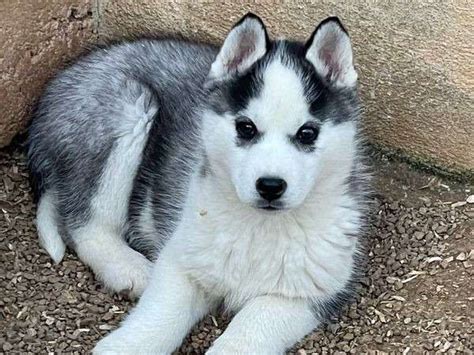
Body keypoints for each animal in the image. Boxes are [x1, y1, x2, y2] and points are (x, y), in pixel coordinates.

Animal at [28, 12, 370, 354]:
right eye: (246, 128)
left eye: (307, 133)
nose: (270, 186)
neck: (259, 226)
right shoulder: (181, 259)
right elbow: (160, 315)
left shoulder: (309, 293)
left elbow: (251, 328)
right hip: (128, 111)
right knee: (85, 224)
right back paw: (130, 268)